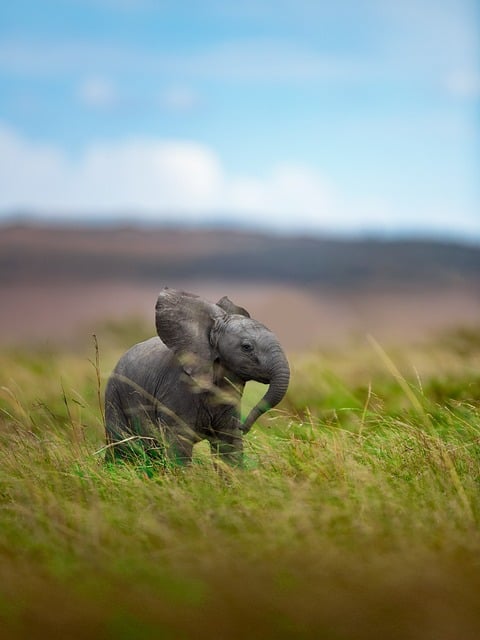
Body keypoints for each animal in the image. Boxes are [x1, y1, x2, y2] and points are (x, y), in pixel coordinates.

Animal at [104, 288, 290, 467]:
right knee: (121, 445)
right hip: (114, 396)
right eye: (246, 347)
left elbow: (228, 444)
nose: (243, 427)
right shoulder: (176, 388)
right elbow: (178, 444)